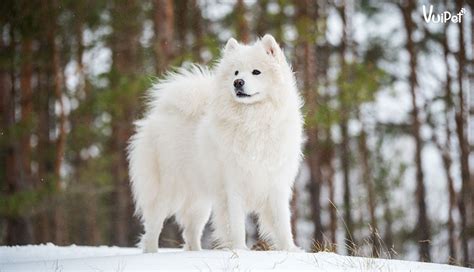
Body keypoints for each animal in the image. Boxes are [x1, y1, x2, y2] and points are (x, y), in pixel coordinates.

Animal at [128, 34, 302, 253]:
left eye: (256, 71)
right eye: (236, 72)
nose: (238, 82)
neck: (253, 120)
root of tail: (159, 115)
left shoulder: (275, 183)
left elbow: (282, 223)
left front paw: (290, 250)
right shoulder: (233, 185)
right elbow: (236, 225)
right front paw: (240, 250)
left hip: (199, 201)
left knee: (190, 232)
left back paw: (195, 252)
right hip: (167, 189)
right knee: (153, 225)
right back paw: (150, 253)